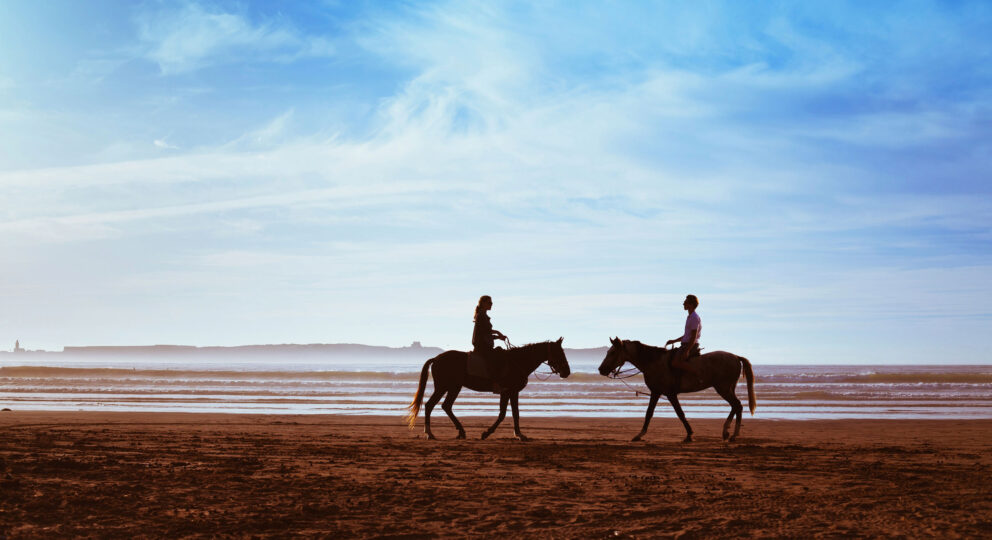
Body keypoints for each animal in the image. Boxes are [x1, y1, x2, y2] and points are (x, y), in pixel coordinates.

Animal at [406, 340, 568, 440]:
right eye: (559, 353)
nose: (567, 372)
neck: (517, 362)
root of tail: (436, 358)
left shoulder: (512, 392)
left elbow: (515, 413)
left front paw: (519, 435)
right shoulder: (507, 391)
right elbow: (503, 414)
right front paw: (487, 433)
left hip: (454, 387)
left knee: (445, 406)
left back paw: (460, 431)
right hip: (444, 386)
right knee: (430, 405)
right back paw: (430, 433)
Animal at [600, 338, 756, 442]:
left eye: (613, 352)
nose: (601, 369)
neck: (654, 363)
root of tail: (736, 357)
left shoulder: (670, 394)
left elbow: (680, 413)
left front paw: (689, 434)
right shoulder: (656, 392)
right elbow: (649, 413)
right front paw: (639, 435)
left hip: (723, 388)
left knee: (737, 405)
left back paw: (732, 434)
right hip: (728, 388)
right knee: (736, 406)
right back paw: (727, 432)